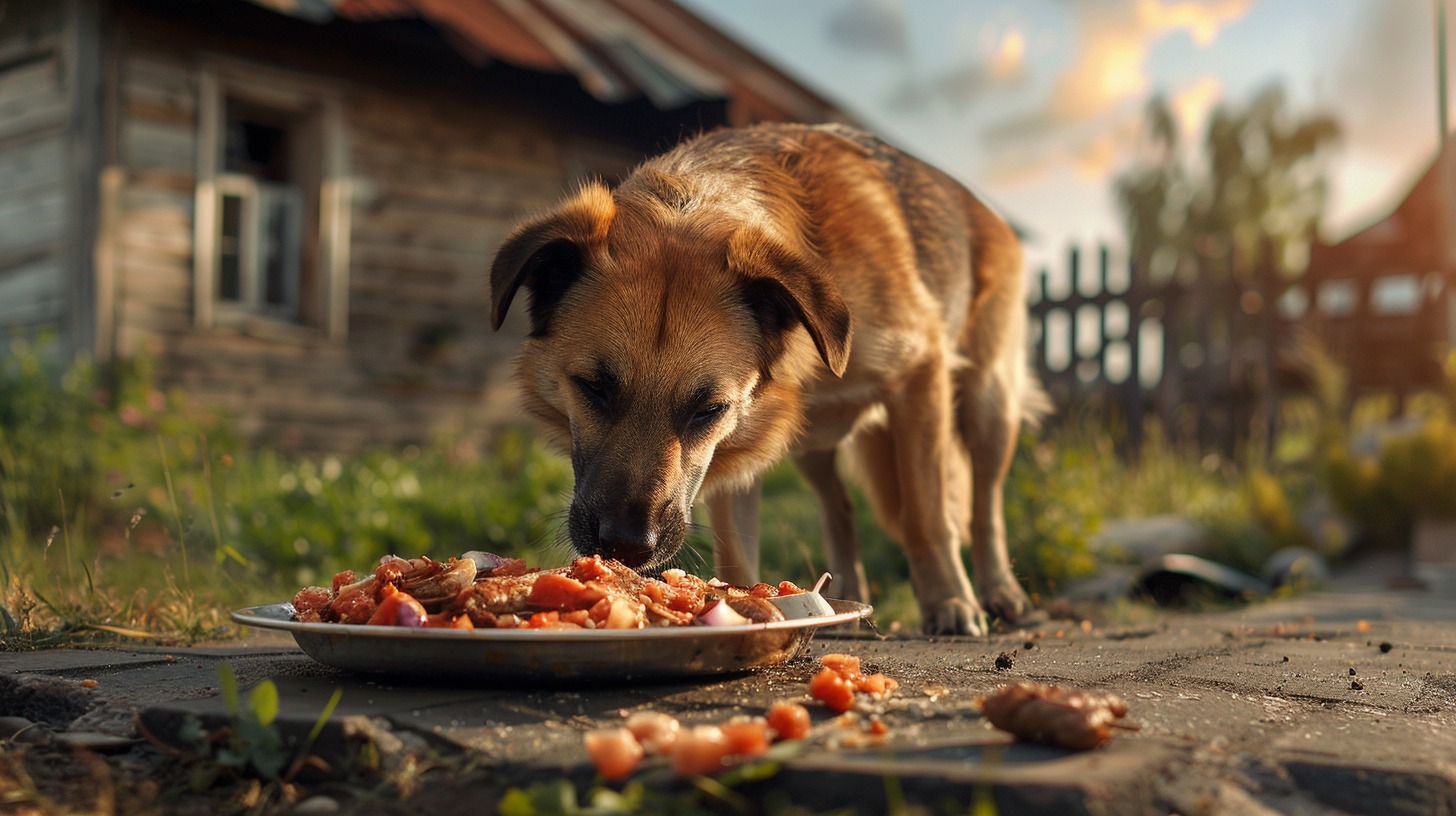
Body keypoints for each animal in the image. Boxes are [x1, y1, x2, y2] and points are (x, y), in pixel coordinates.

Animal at [489, 122, 1048, 638]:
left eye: (707, 409)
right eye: (593, 388)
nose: (625, 546)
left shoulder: (919, 379)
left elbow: (927, 514)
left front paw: (949, 601)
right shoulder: (738, 445)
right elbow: (737, 549)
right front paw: (740, 606)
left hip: (988, 407)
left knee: (983, 505)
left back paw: (999, 591)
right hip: (810, 446)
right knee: (839, 506)